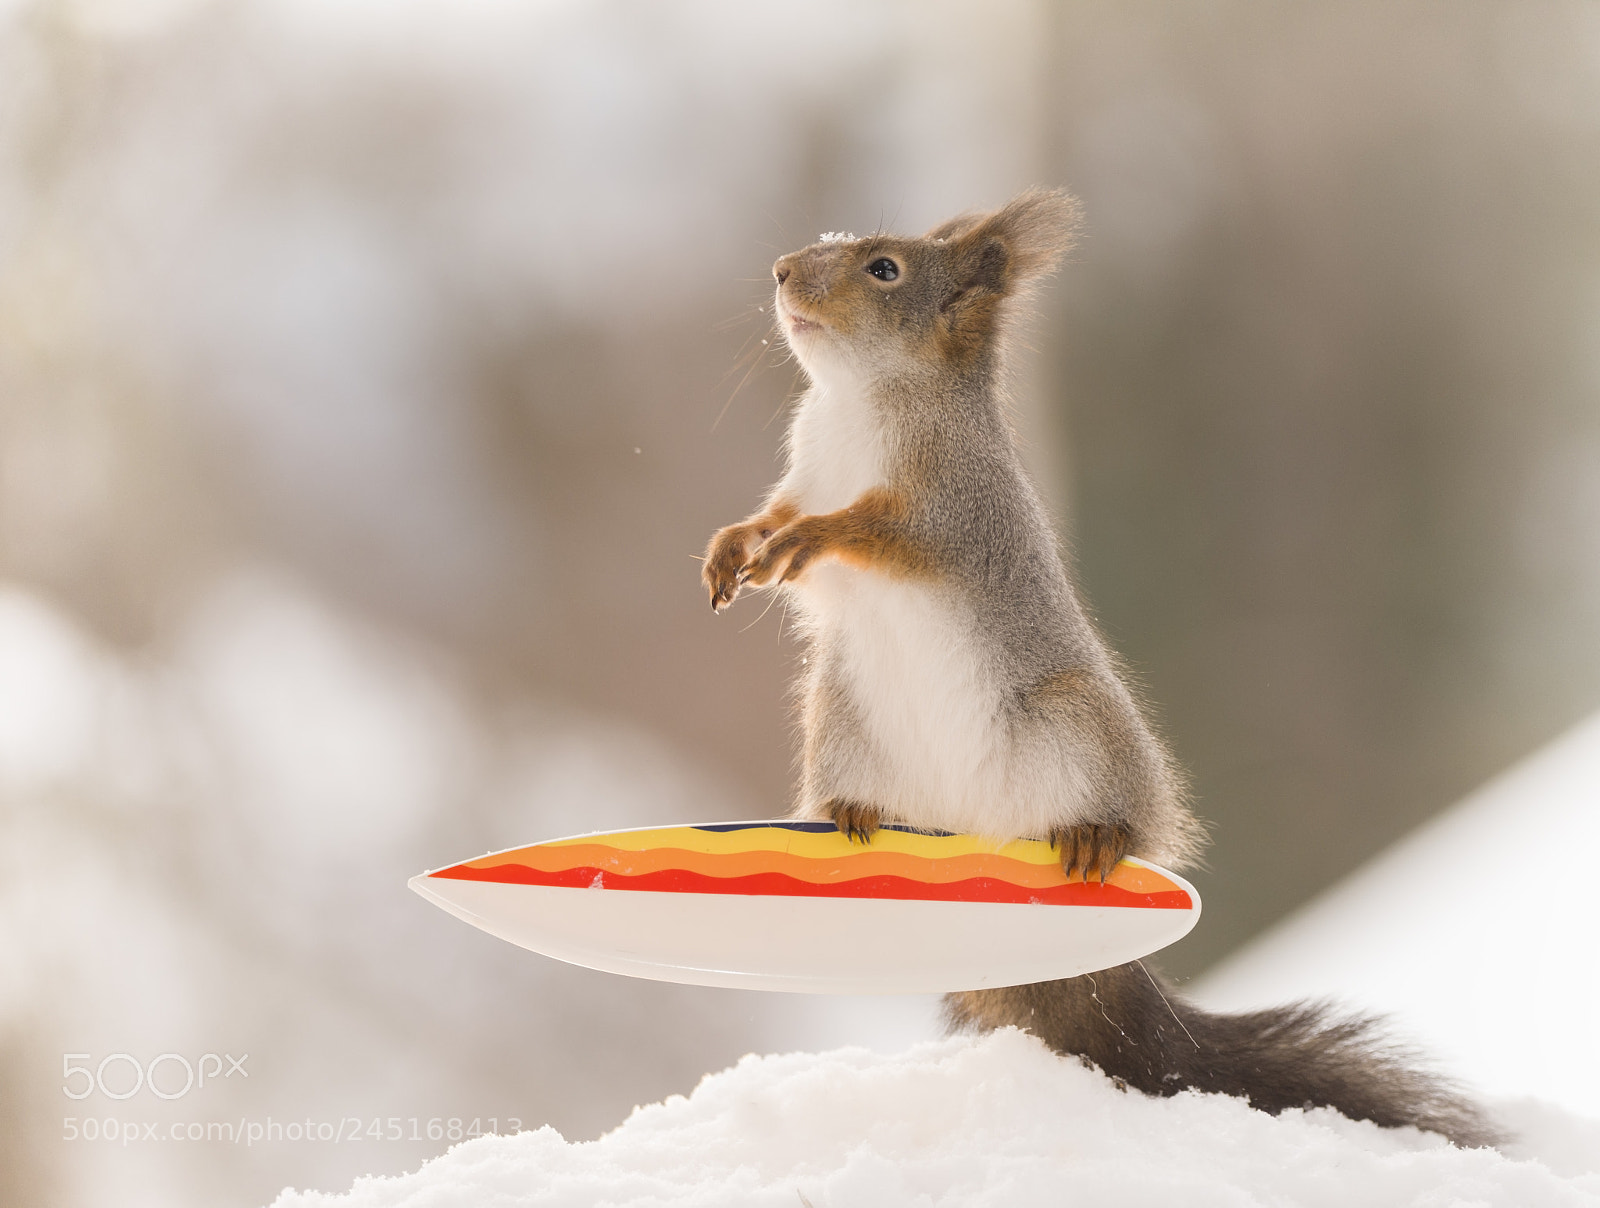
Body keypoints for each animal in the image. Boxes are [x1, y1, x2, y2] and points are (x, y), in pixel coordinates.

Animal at [702, 188, 1497, 1148]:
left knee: (1128, 826)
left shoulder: (953, 509)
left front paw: (810, 539)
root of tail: (972, 830)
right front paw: (733, 548)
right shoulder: (806, 471)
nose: (783, 271)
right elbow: (774, 516)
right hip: (841, 719)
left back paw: (1096, 836)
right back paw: (854, 812)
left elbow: (874, 532)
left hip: (1077, 721)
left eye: (883, 269)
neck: (858, 400)